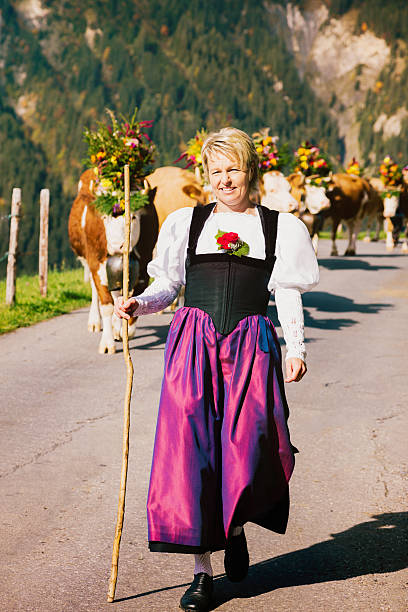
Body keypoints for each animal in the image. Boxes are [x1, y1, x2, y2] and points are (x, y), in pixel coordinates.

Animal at [68, 169, 158, 354]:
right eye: (104, 217)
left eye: (133, 217)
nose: (118, 245)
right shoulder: (95, 263)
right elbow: (107, 305)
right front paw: (107, 343)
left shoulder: (144, 265)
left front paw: (126, 331)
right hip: (87, 260)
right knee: (96, 291)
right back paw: (95, 321)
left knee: (118, 292)